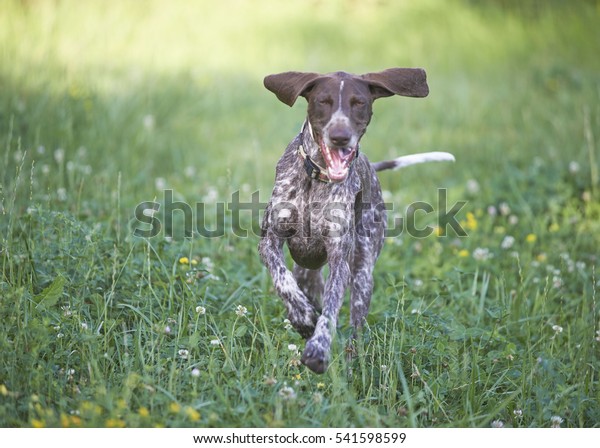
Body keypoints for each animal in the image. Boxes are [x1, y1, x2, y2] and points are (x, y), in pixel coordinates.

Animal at [260, 68, 452, 372]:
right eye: (323, 101)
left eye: (359, 102)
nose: (340, 136)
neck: (317, 177)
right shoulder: (269, 241)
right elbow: (282, 280)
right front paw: (303, 317)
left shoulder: (341, 261)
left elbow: (330, 309)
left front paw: (318, 347)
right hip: (307, 272)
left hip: (362, 275)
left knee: (355, 328)